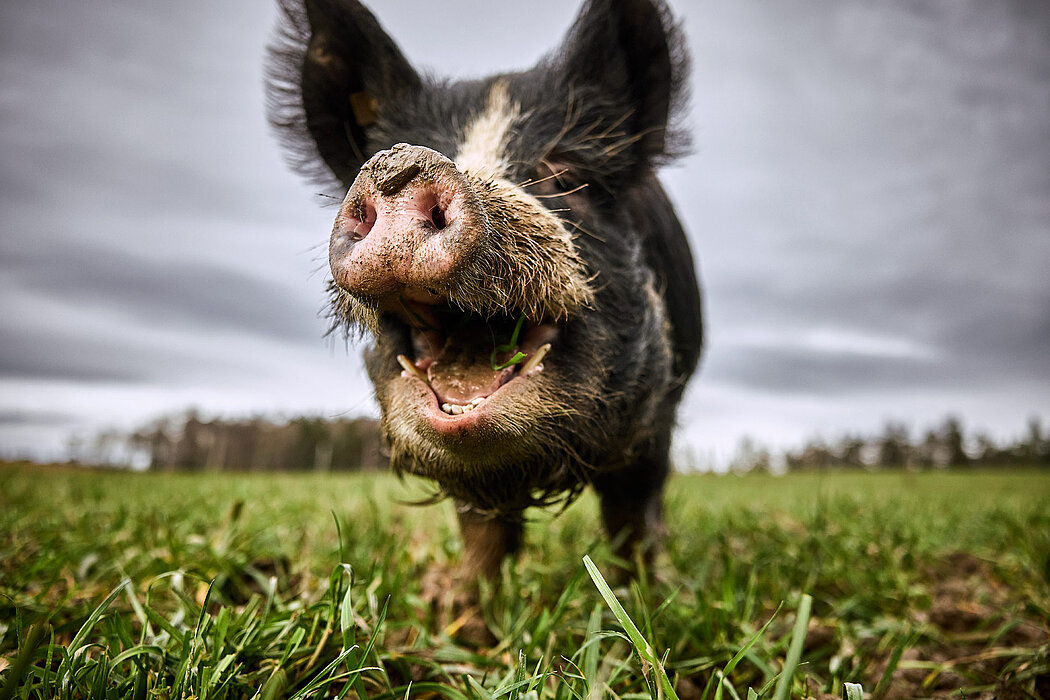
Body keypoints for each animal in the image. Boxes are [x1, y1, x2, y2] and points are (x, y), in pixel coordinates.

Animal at [267, 0, 703, 631]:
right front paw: (458, 615)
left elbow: (631, 513)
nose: (405, 164)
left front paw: (646, 608)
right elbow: (480, 525)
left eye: (566, 173)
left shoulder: (659, 414)